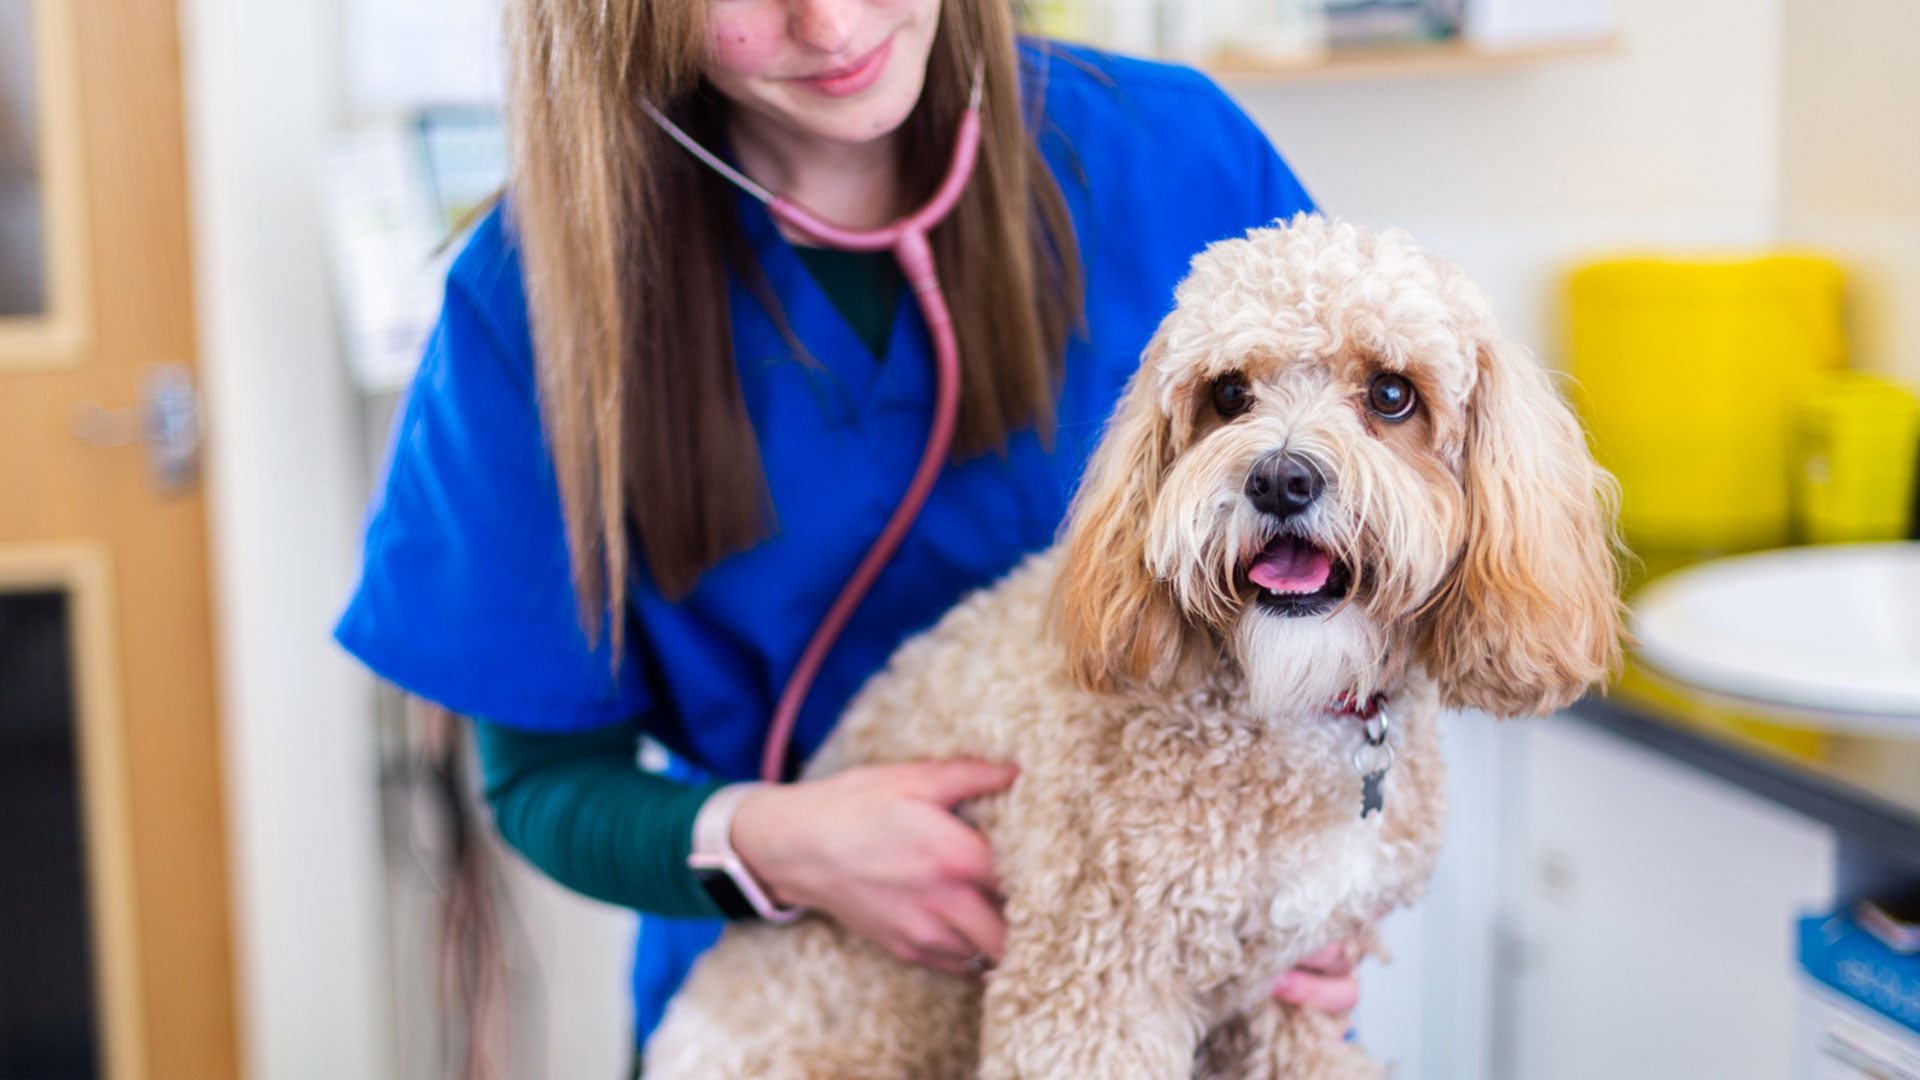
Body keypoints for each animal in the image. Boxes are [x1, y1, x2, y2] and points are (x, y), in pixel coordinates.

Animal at [643, 215, 1624, 1079]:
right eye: (1228, 394)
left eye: (1391, 394)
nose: (1280, 478)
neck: (1294, 707)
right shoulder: (1091, 985)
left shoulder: (1291, 989)